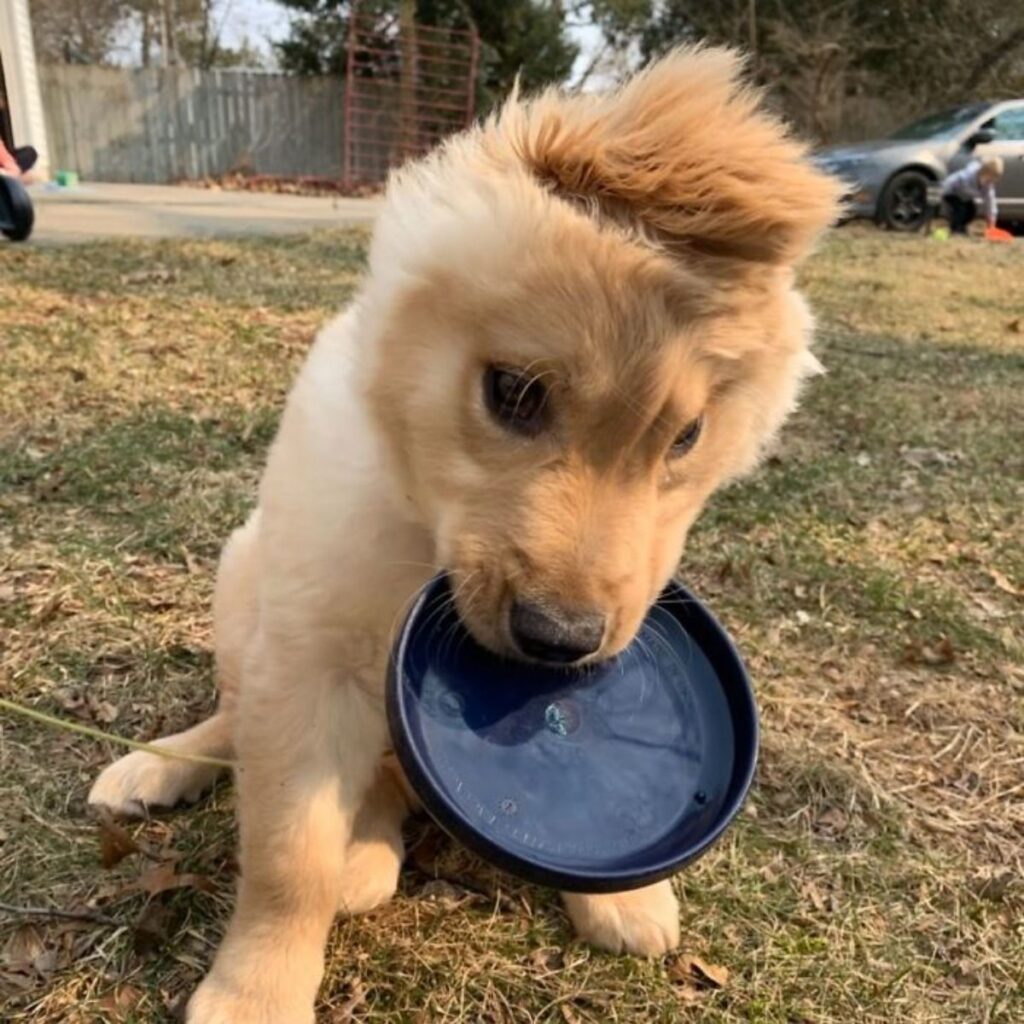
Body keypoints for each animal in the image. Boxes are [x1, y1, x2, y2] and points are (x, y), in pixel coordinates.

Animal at [90, 44, 839, 1019]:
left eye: (686, 438)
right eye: (514, 392)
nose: (561, 641)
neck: (425, 527)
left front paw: (630, 891)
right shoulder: (308, 665)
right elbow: (290, 857)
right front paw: (257, 993)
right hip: (244, 575)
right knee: (236, 711)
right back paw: (164, 767)